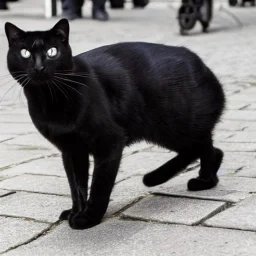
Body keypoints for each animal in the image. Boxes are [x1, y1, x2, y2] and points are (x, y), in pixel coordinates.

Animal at [3, 18, 224, 230]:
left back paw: (202, 181)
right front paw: (76, 211)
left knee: (205, 148)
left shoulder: (109, 142)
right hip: (166, 132)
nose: (39, 67)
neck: (49, 101)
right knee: (209, 150)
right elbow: (76, 186)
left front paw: (89, 218)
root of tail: (202, 65)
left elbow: (99, 185)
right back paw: (160, 177)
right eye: (24, 53)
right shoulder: (71, 150)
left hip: (177, 127)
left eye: (52, 52)